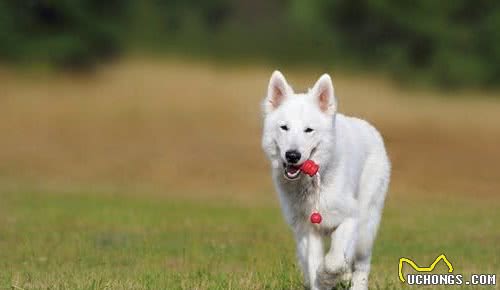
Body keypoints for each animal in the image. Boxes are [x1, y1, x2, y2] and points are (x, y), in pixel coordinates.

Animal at [262, 71, 390, 290]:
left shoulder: (350, 218)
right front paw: (321, 280)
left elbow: (334, 260)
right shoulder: (307, 229)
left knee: (362, 265)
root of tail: (370, 128)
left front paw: (329, 276)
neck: (313, 182)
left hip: (366, 228)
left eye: (308, 130)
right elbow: (315, 263)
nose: (292, 155)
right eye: (284, 128)